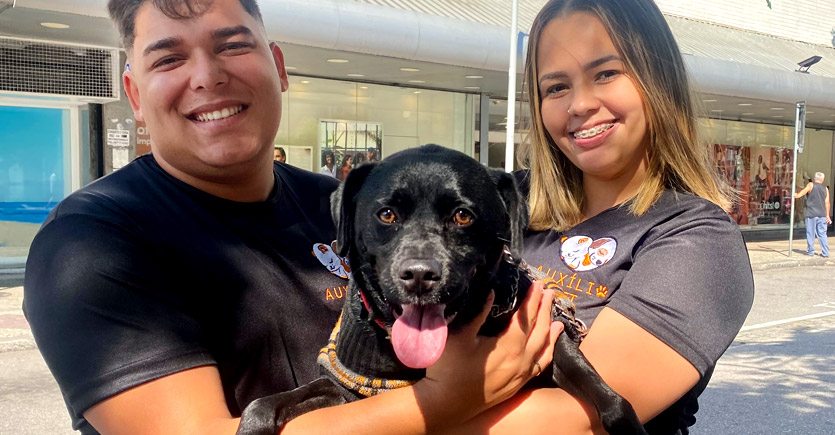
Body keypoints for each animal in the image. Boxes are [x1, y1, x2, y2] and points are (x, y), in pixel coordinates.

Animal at [237, 145, 648, 434]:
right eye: (386, 214)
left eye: (463, 215)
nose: (419, 275)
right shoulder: (347, 391)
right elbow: (268, 402)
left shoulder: (557, 346)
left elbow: (613, 401)